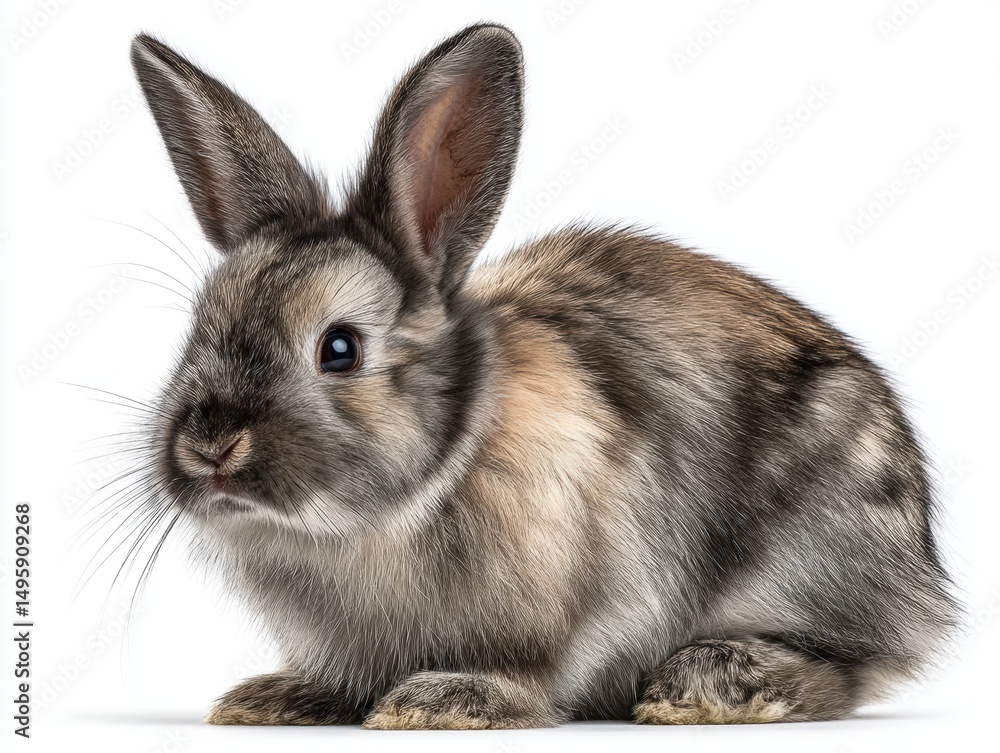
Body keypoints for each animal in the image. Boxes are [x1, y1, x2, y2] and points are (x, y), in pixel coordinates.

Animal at [129, 23, 957, 728]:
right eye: (198, 328)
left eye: (339, 349)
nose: (211, 445)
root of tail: (924, 581)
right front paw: (275, 698)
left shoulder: (586, 590)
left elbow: (535, 667)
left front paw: (441, 701)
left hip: (819, 548)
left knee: (846, 667)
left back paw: (705, 684)